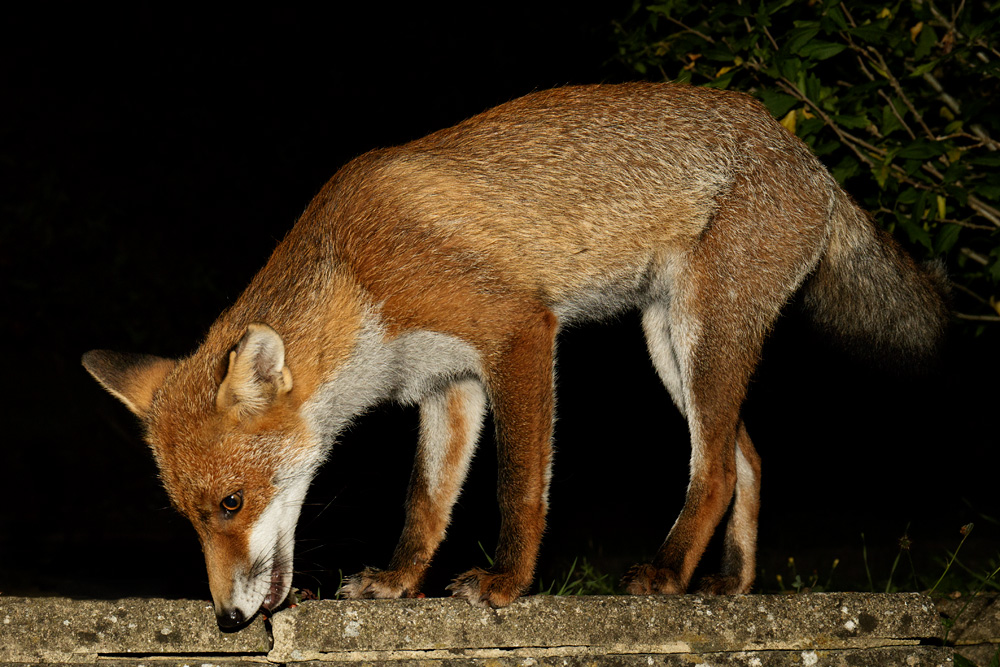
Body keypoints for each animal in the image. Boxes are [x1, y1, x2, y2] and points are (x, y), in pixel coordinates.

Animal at [82, 82, 948, 628]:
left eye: (230, 503)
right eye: (193, 517)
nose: (229, 617)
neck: (359, 277)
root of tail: (806, 153)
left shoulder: (520, 331)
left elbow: (519, 487)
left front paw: (506, 584)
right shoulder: (448, 380)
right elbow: (426, 503)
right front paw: (399, 581)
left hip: (704, 333)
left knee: (711, 471)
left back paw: (667, 574)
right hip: (669, 343)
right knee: (745, 457)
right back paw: (730, 583)